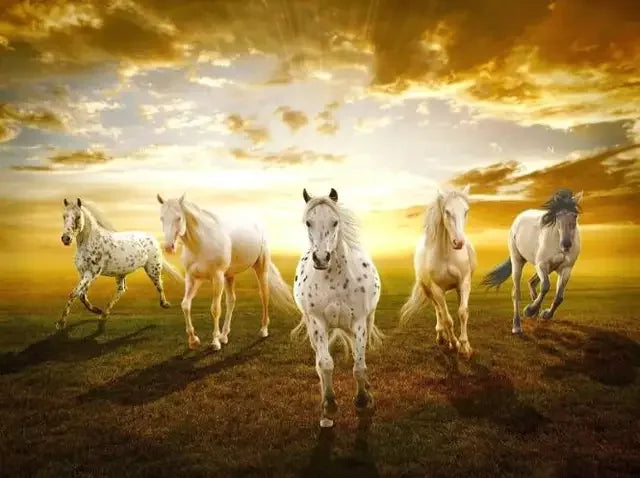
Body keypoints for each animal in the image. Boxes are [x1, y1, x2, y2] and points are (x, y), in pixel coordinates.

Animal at [57, 198, 182, 330]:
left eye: (78, 216)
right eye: (64, 216)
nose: (66, 239)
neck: (88, 242)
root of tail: (152, 238)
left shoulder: (91, 273)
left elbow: (74, 294)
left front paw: (61, 323)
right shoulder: (82, 273)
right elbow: (81, 295)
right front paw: (97, 310)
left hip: (153, 268)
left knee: (159, 284)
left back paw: (165, 304)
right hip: (121, 273)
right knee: (121, 290)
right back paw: (104, 314)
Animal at [157, 194, 295, 350]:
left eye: (178, 218)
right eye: (162, 218)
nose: (168, 247)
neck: (201, 244)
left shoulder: (217, 278)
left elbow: (215, 309)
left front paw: (215, 342)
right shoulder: (193, 279)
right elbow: (185, 305)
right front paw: (194, 340)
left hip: (261, 268)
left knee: (264, 295)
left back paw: (263, 329)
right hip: (229, 275)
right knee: (231, 301)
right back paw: (224, 335)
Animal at [291, 188, 383, 428]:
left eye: (335, 222)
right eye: (308, 222)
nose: (321, 258)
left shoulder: (358, 322)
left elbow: (359, 365)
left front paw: (362, 399)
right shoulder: (318, 323)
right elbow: (325, 364)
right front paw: (330, 406)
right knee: (319, 363)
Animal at [400, 185, 476, 359]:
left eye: (466, 211)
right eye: (447, 211)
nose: (459, 242)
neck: (447, 254)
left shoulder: (464, 282)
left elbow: (463, 312)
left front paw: (465, 347)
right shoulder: (437, 289)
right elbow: (447, 319)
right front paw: (454, 343)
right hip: (429, 290)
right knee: (439, 311)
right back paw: (442, 336)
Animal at [482, 189, 583, 335]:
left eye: (574, 215)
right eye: (558, 216)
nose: (566, 245)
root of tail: (519, 218)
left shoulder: (566, 269)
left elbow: (559, 297)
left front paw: (545, 314)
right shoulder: (541, 264)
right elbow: (546, 286)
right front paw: (529, 310)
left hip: (549, 267)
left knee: (532, 282)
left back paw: (535, 313)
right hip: (518, 261)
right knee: (516, 292)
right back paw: (517, 326)